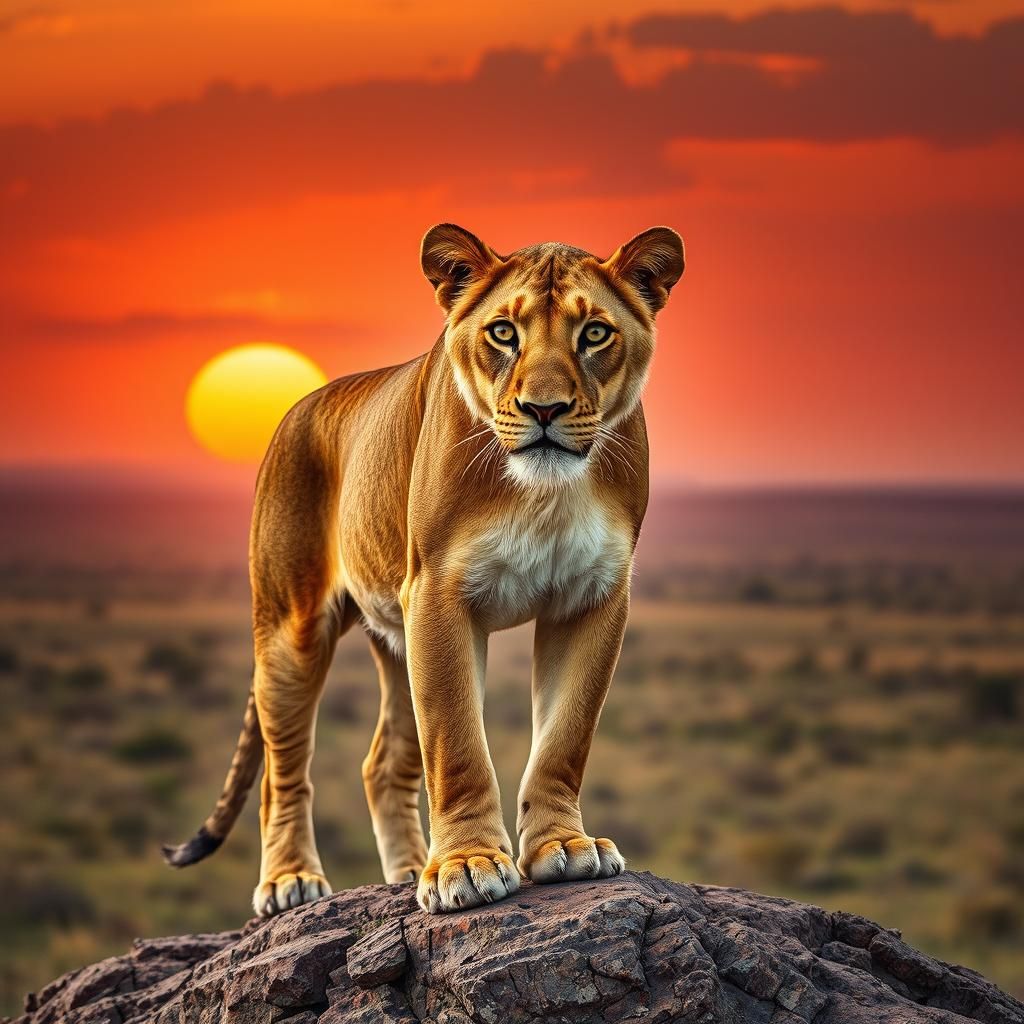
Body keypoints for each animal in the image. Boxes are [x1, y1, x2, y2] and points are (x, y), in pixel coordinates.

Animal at [162, 223, 685, 916]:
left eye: (595, 333)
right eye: (503, 333)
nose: (544, 409)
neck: (543, 492)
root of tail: (298, 406)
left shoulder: (593, 596)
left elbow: (565, 736)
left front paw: (562, 847)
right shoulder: (439, 592)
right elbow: (457, 742)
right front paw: (466, 866)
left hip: (396, 637)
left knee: (381, 763)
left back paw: (408, 871)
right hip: (289, 628)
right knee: (282, 770)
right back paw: (291, 881)